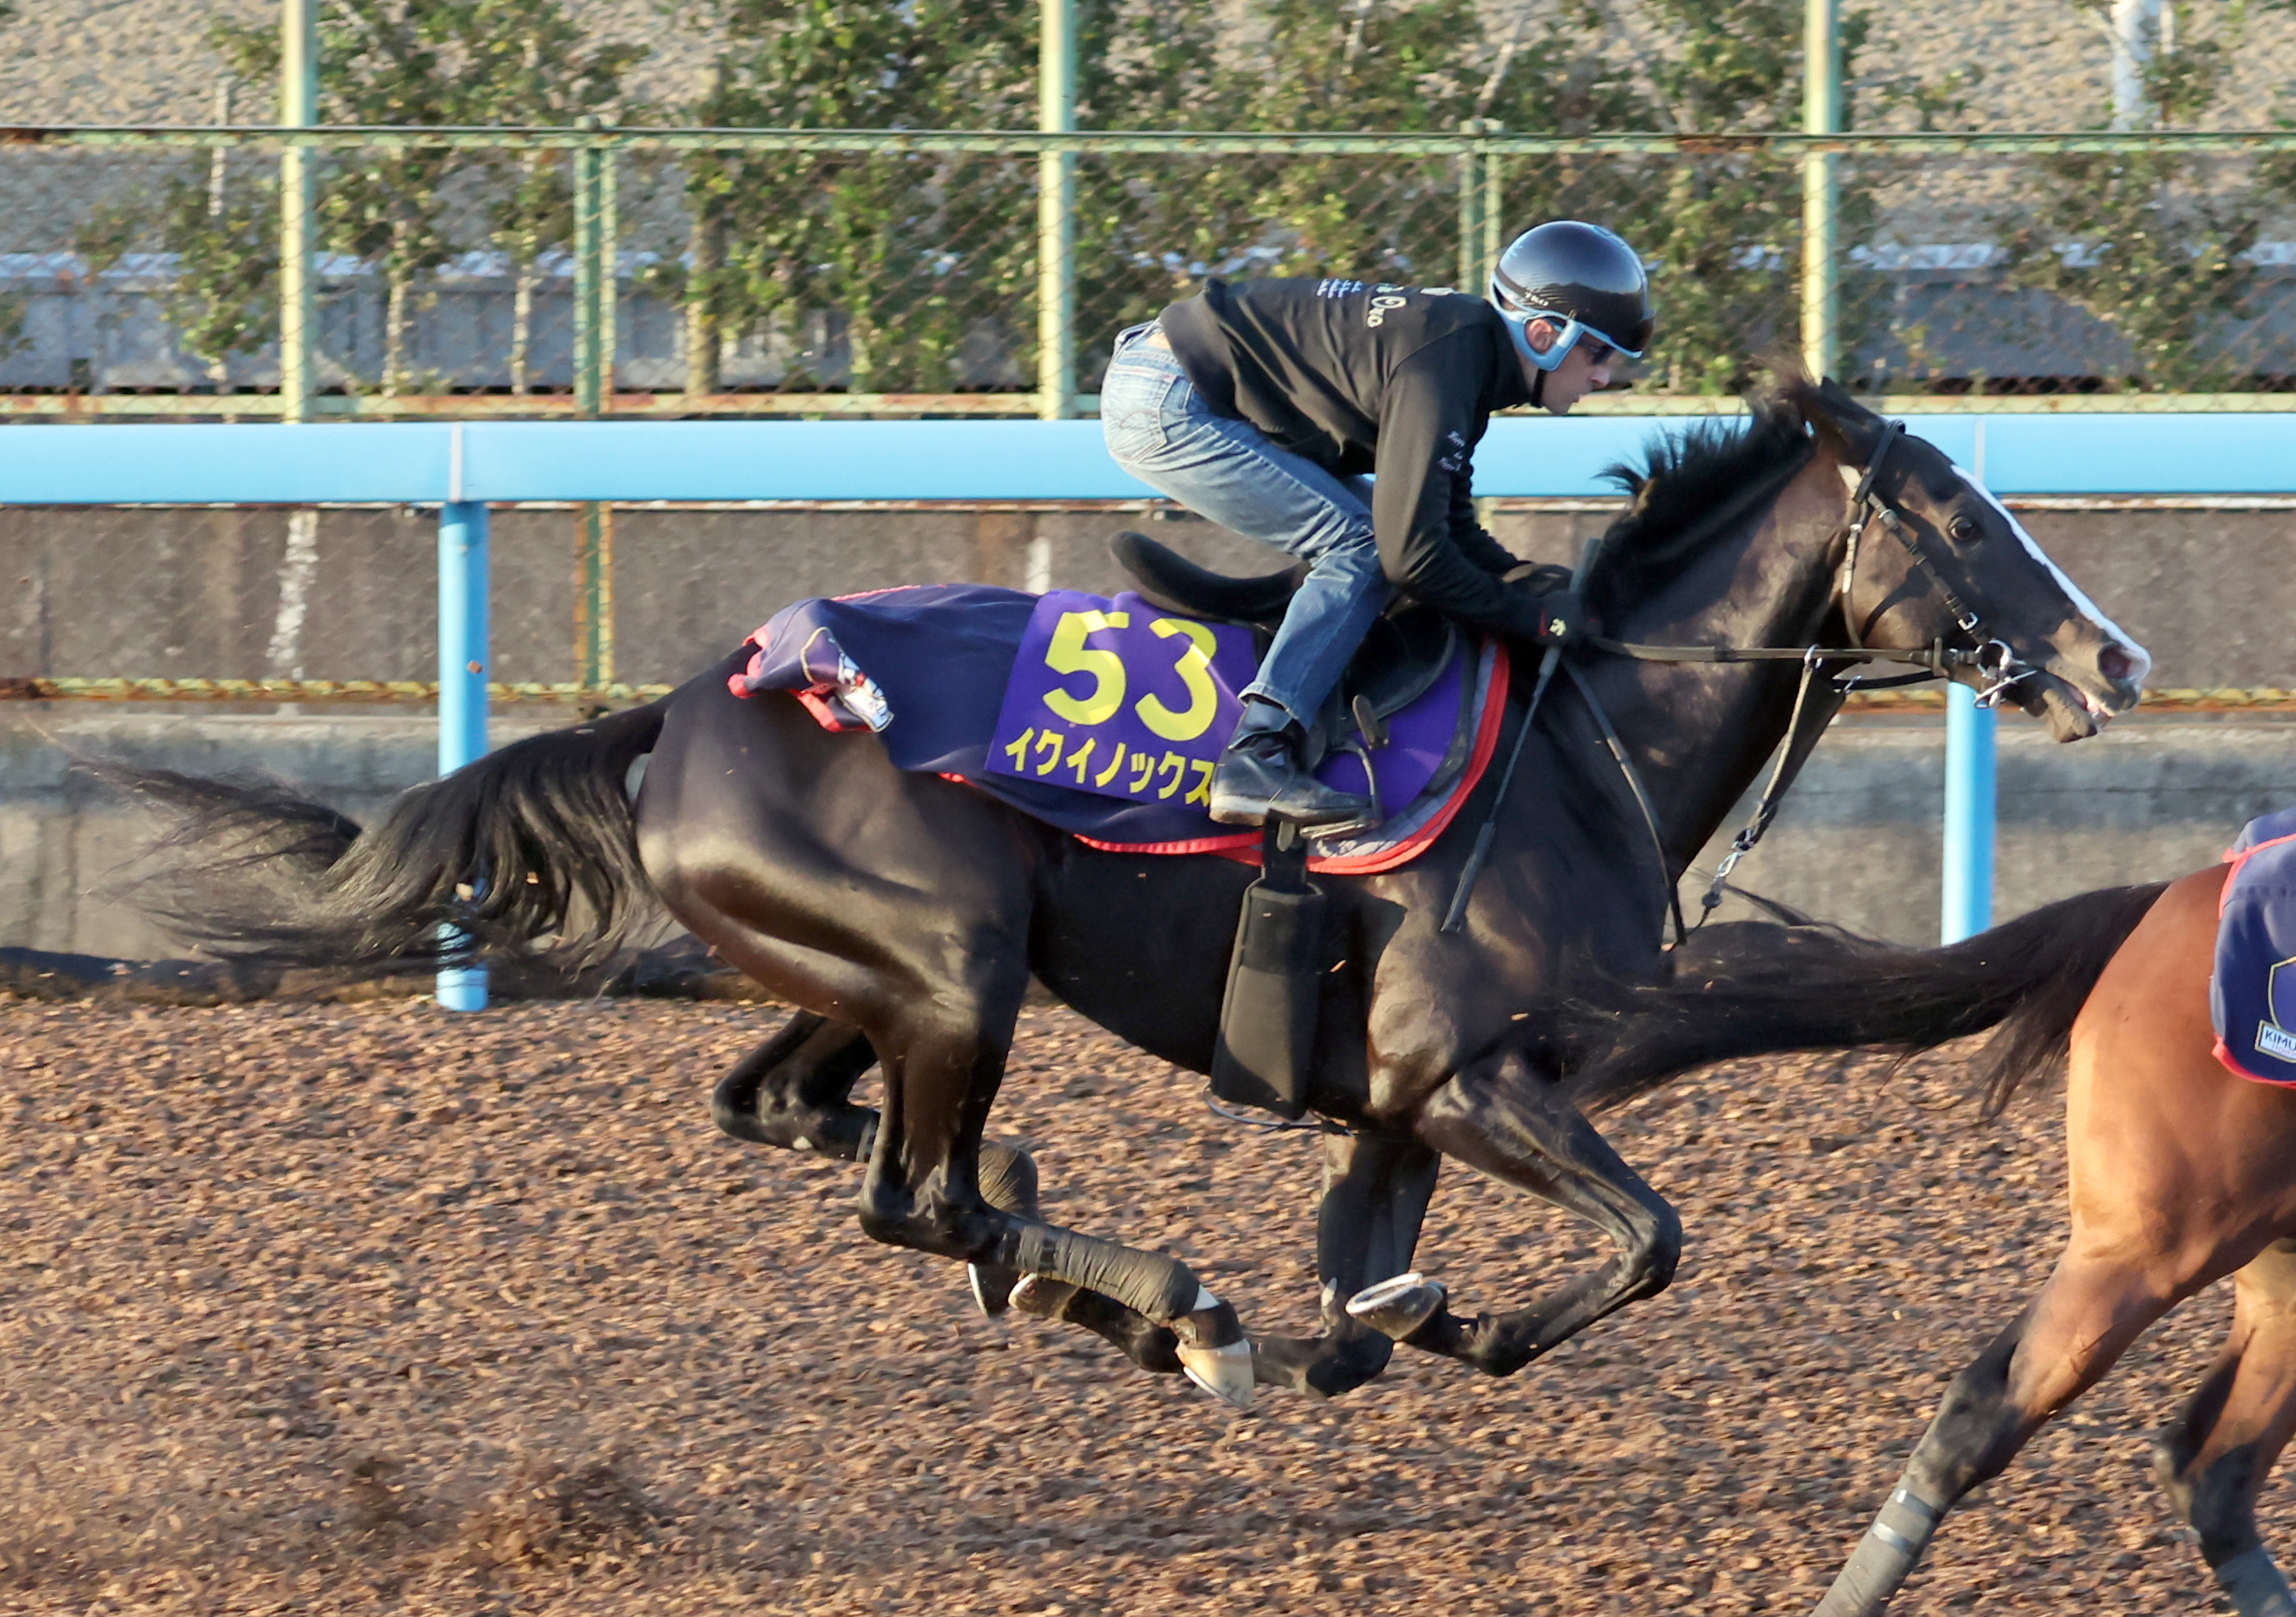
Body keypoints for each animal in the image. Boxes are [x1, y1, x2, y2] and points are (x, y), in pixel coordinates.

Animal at [134, 372, 2140, 1406]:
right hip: (953, 959)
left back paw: (1099, 1281)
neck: (1587, 742)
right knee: (912, 1191)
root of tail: (694, 699)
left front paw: (1382, 1328)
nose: (2110, 656)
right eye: (1966, 516)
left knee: (790, 1115)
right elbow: (1647, 1233)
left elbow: (1384, 1278)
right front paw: (1452, 1325)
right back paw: (1168, 1298)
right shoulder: (1460, 1078)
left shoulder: (1396, 1106)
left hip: (858, 965)